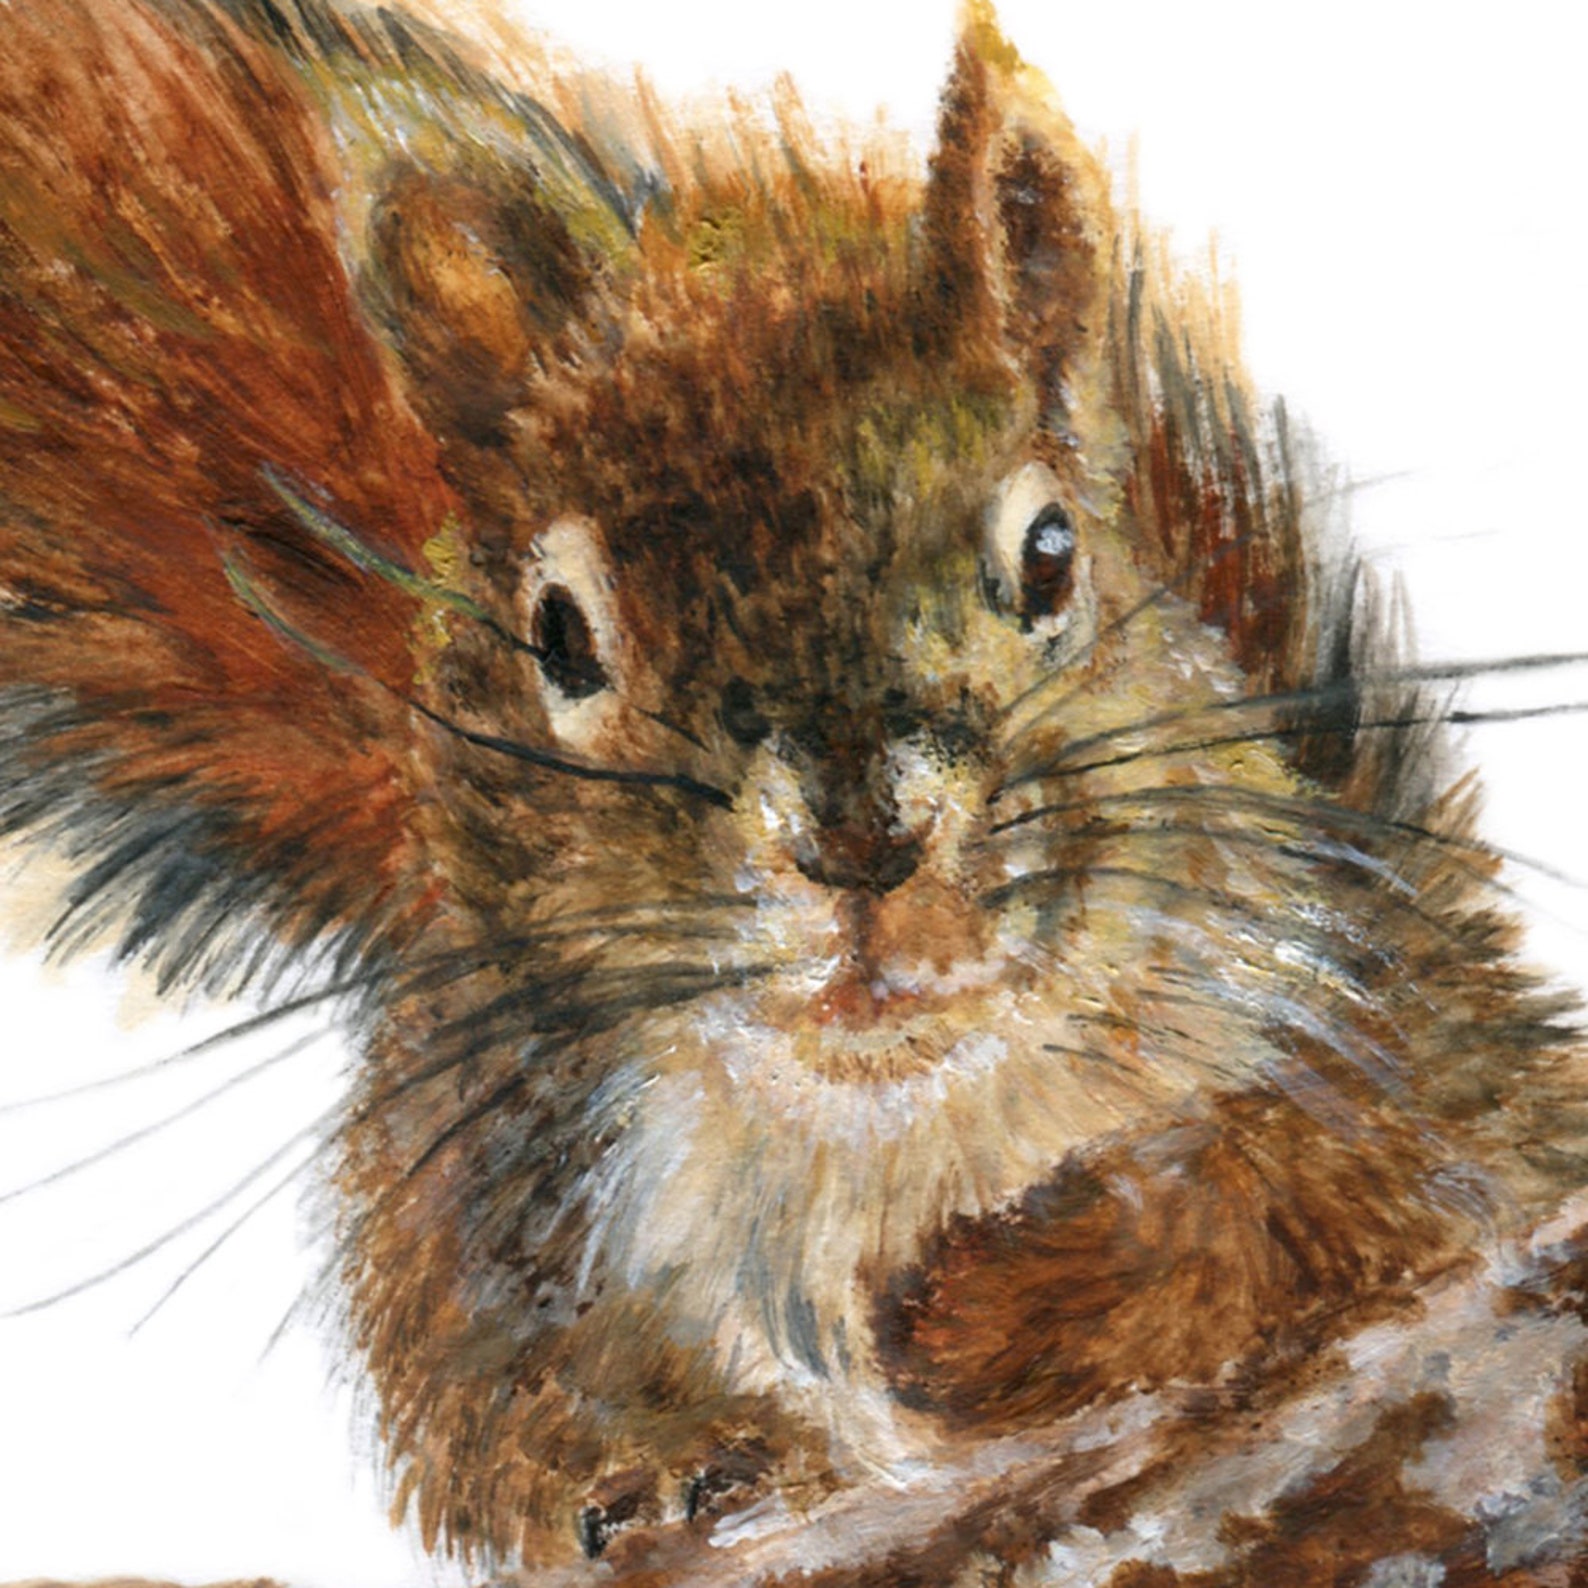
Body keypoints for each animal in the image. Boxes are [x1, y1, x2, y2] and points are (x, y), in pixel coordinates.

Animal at [3, 0, 1587, 1581]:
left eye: (1054, 553)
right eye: (557, 636)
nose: (860, 836)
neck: (885, 1131)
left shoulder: (1403, 1078)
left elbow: (1299, 1210)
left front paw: (1012, 1286)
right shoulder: (500, 1202)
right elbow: (506, 1409)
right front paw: (671, 1458)